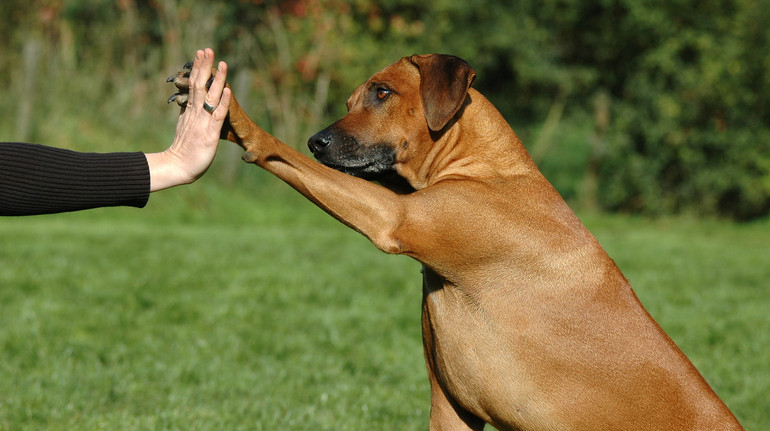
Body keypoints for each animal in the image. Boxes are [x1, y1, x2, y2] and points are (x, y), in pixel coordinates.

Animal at [170, 54, 744, 431]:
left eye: (382, 92)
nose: (317, 141)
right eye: (353, 99)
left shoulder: (395, 217)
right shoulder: (452, 406)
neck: (486, 169)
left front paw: (234, 118)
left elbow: (282, 153)